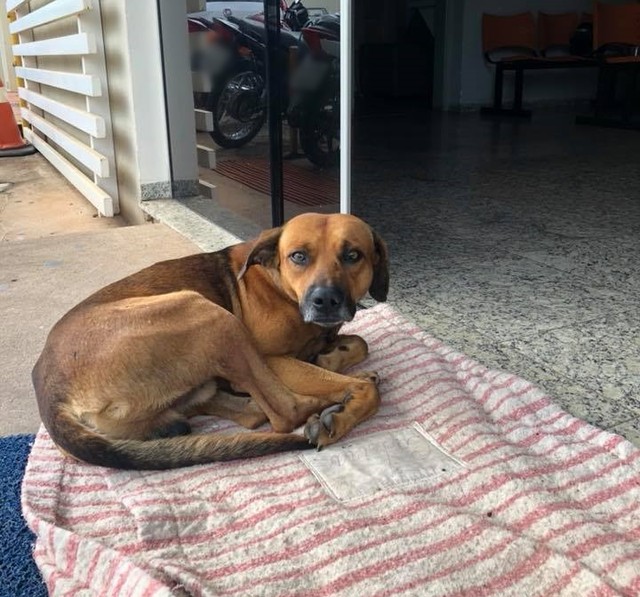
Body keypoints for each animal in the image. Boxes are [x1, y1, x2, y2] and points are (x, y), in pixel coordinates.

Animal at [32, 212, 388, 468]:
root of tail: (49, 387)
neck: (278, 283)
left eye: (353, 255)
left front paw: (330, 357)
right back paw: (332, 402)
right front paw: (345, 403)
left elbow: (360, 342)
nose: (325, 300)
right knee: (286, 411)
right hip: (209, 314)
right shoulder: (270, 358)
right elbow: (357, 385)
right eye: (298, 256)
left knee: (250, 411)